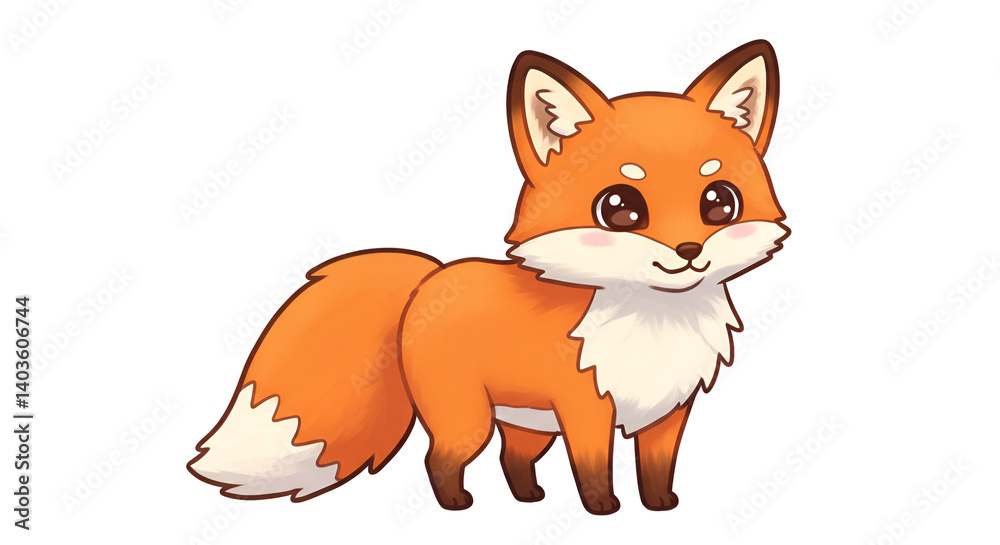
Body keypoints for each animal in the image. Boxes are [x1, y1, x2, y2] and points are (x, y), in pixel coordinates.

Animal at [188, 40, 789, 515]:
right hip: (469, 419)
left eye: (719, 202)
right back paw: (457, 504)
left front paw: (661, 506)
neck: (655, 326)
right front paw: (603, 510)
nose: (689, 251)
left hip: (525, 425)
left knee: (510, 458)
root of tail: (429, 279)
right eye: (620, 209)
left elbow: (657, 468)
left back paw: (527, 498)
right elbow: (595, 469)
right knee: (440, 459)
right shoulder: (586, 409)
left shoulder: (669, 411)